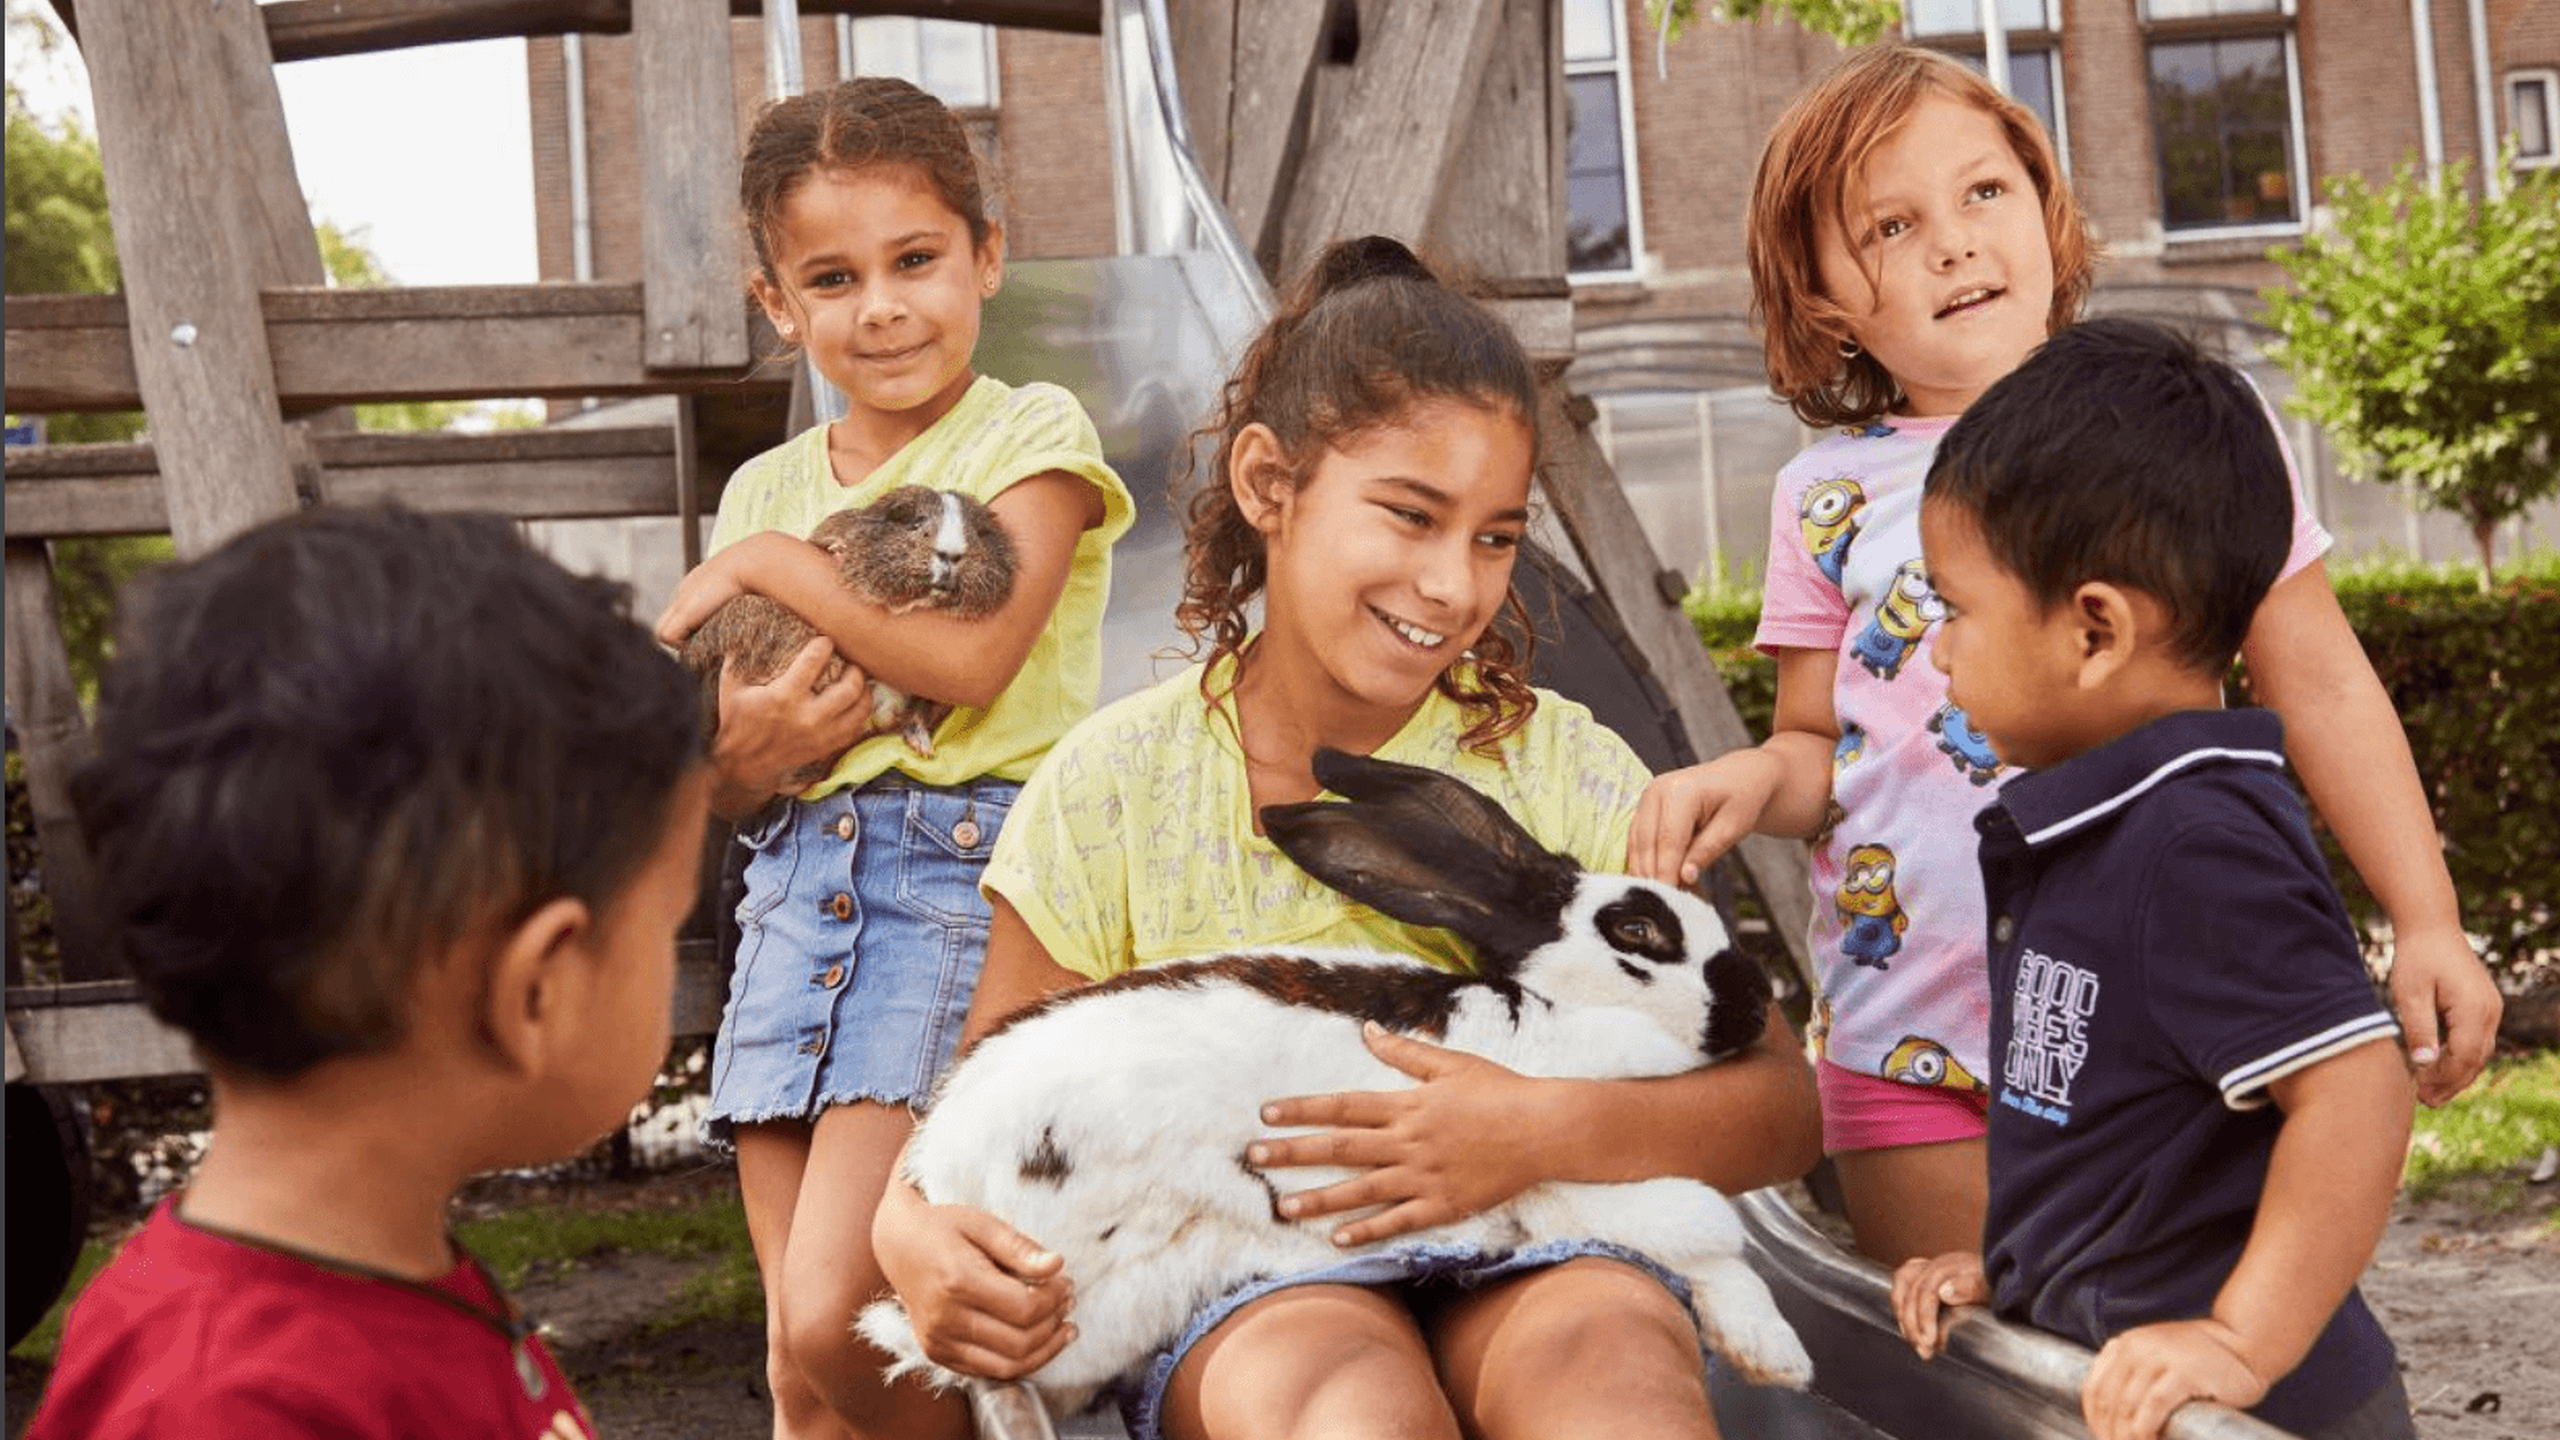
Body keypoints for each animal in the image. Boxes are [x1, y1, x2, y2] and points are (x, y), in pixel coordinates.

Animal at [860, 753, 1822, 1414]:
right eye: (1638, 932)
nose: (1755, 1003)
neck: (1553, 1010)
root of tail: (942, 1178)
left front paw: (1774, 1356)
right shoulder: (1564, 1176)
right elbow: (1704, 1236)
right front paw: (1783, 1353)